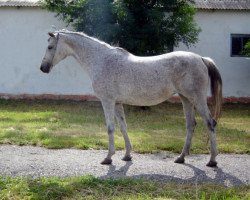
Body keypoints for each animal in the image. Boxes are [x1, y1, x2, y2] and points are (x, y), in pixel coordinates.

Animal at [40, 30, 223, 167]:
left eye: (50, 46)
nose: (43, 68)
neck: (102, 60)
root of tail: (201, 59)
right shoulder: (117, 103)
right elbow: (123, 127)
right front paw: (127, 155)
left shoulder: (107, 101)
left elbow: (110, 128)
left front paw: (108, 158)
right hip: (186, 99)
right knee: (191, 125)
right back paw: (181, 158)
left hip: (197, 99)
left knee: (210, 123)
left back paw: (212, 160)